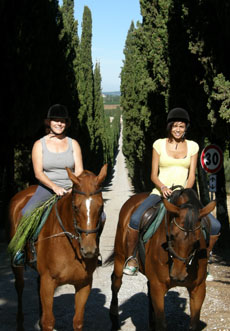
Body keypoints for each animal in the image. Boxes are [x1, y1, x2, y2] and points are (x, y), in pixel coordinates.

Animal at [7, 165, 107, 331]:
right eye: (75, 207)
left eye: (101, 207)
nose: (89, 250)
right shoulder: (48, 283)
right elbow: (48, 321)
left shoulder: (84, 284)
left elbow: (77, 321)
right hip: (17, 265)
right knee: (19, 286)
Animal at [108, 189, 217, 331]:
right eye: (172, 235)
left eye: (197, 240)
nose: (179, 275)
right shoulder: (158, 287)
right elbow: (162, 323)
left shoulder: (198, 288)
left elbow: (194, 324)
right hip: (120, 257)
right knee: (116, 283)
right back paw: (115, 320)